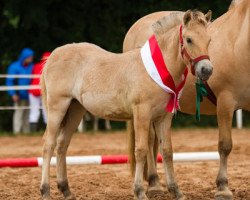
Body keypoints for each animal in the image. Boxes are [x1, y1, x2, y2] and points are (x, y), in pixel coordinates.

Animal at [40, 9, 212, 200]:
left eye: (209, 40)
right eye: (189, 39)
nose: (206, 70)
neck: (158, 68)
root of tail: (53, 56)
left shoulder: (163, 117)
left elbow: (167, 150)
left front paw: (176, 191)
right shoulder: (142, 114)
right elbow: (141, 150)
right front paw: (139, 191)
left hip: (75, 110)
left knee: (62, 145)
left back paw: (66, 191)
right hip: (58, 107)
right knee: (48, 145)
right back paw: (45, 191)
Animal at [123, 0, 250, 199]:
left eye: (209, 41)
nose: (206, 70)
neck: (238, 42)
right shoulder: (225, 103)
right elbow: (225, 145)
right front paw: (223, 187)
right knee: (150, 141)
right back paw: (154, 184)